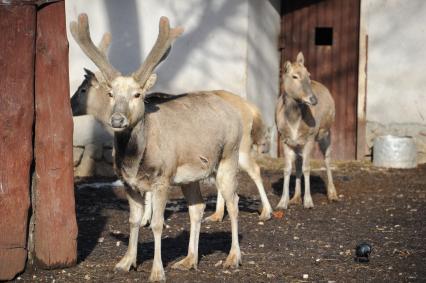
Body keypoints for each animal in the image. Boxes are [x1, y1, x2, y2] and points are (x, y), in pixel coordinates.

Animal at [70, 13, 243, 283]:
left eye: (138, 94)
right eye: (111, 94)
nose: (117, 120)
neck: (135, 159)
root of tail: (236, 111)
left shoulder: (162, 178)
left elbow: (157, 223)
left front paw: (157, 271)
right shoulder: (129, 183)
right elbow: (133, 220)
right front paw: (126, 262)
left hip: (229, 156)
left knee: (233, 202)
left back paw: (233, 258)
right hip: (189, 176)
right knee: (197, 207)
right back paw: (189, 260)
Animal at [276, 52, 340, 210]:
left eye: (308, 74)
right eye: (294, 76)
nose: (313, 100)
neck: (293, 121)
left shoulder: (310, 138)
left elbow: (307, 168)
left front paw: (308, 202)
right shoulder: (284, 139)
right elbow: (287, 168)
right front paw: (282, 203)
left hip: (326, 133)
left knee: (327, 159)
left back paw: (332, 194)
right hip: (298, 143)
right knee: (298, 164)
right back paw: (295, 197)